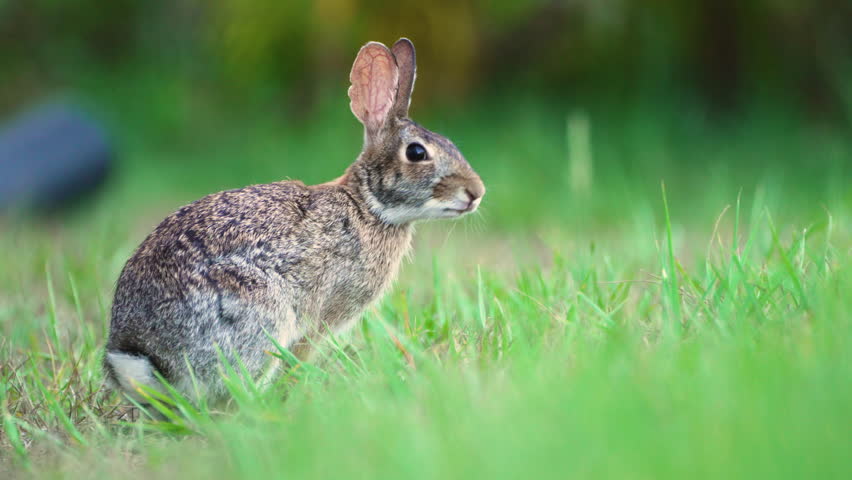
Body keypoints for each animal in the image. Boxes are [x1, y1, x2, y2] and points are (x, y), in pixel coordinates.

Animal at [104, 38, 485, 406]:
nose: (476, 192)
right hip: (259, 310)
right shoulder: (323, 315)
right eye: (417, 153)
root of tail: (145, 356)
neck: (368, 206)